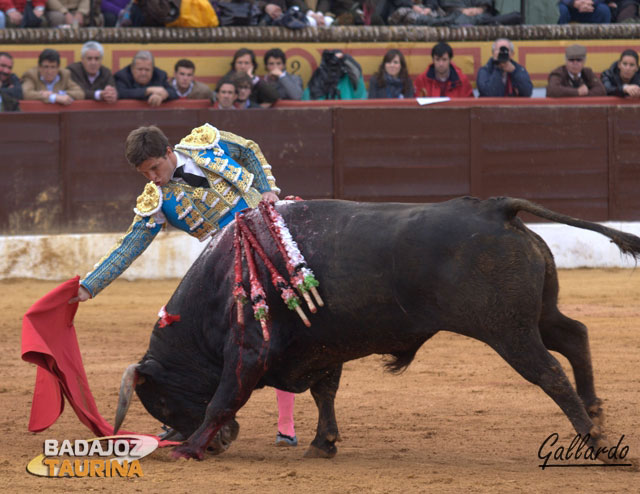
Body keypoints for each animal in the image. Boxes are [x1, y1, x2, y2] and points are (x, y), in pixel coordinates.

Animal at [114, 197, 640, 460]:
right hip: (534, 316)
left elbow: (223, 398)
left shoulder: (248, 352)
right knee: (574, 334)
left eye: (162, 401)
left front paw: (188, 448)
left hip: (507, 330)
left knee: (549, 372)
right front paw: (323, 443)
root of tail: (494, 208)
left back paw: (595, 441)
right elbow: (325, 391)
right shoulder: (321, 347)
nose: (224, 444)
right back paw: (596, 414)